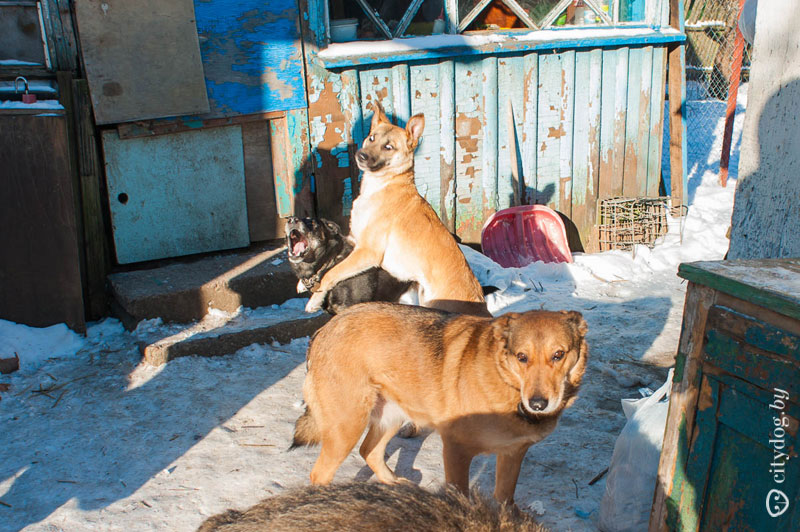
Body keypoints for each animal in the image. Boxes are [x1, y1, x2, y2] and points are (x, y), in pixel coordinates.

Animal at [290, 304, 588, 502]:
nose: (537, 404)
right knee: (320, 474)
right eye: (522, 357)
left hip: (392, 412)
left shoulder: (513, 454)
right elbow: (461, 497)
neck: (506, 382)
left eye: (559, 355)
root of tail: (324, 329)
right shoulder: (456, 451)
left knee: (369, 451)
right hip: (347, 426)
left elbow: (505, 499)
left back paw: (394, 483)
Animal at [304, 101, 488, 316]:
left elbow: (331, 274)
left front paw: (314, 300)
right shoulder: (354, 240)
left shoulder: (367, 252)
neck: (385, 184)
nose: (361, 155)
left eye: (389, 147)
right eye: (371, 138)